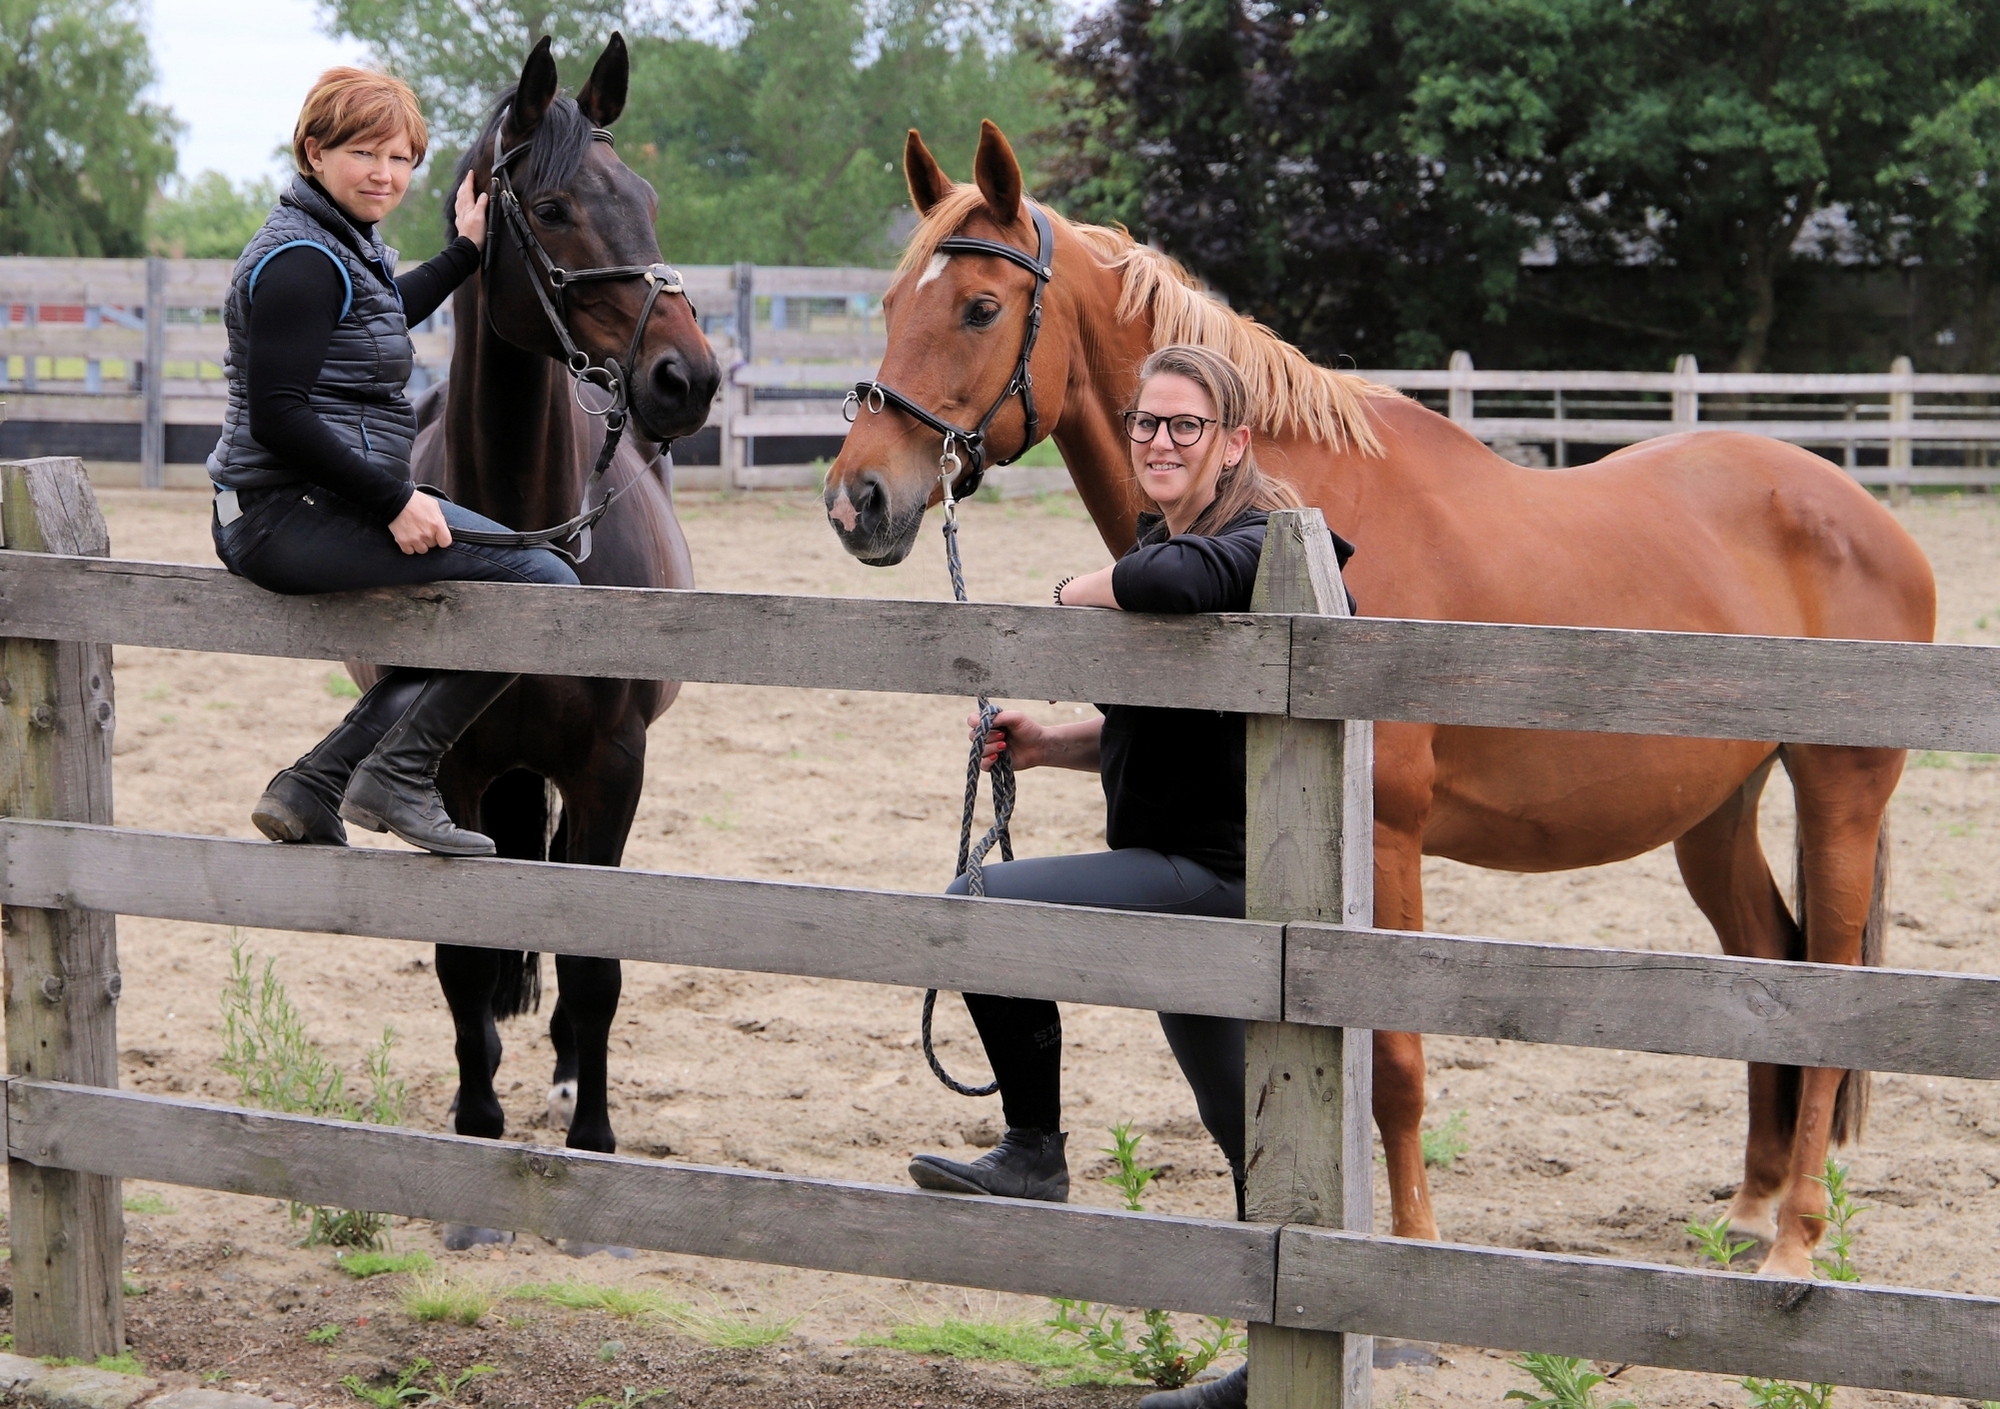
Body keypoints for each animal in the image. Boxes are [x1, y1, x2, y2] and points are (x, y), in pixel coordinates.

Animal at [380, 35, 716, 1242]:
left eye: (649, 199)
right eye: (560, 207)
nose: (688, 377)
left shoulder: (613, 763)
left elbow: (595, 956)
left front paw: (595, 1144)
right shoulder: (453, 772)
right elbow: (465, 956)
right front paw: (475, 1143)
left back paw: (572, 1070)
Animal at [821, 120, 1936, 1279]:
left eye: (979, 308)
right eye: (892, 302)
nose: (858, 498)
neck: (1303, 513)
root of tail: (1861, 512)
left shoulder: (1387, 839)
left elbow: (1393, 1063)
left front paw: (1410, 1249)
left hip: (1838, 797)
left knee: (1833, 986)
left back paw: (1796, 1239)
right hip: (1712, 813)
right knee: (1772, 964)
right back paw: (1751, 1207)